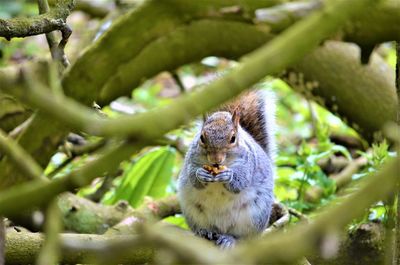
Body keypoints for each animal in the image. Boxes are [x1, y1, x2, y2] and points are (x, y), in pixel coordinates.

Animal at [177, 89, 276, 249]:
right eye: (202, 137)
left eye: (233, 138)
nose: (215, 160)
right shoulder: (191, 159)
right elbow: (193, 177)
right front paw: (200, 174)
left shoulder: (248, 164)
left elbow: (240, 183)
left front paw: (228, 176)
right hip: (194, 213)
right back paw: (205, 232)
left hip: (254, 217)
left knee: (244, 237)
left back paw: (230, 239)